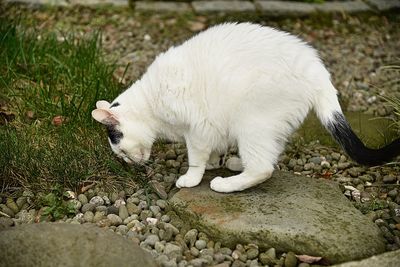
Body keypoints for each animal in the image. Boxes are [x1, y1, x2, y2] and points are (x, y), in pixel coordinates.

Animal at [91, 21, 400, 193]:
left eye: (120, 150)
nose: (128, 164)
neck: (150, 101)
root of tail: (316, 69)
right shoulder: (211, 126)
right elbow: (214, 149)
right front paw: (215, 161)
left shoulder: (197, 127)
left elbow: (196, 157)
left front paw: (192, 178)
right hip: (268, 125)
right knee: (269, 156)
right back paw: (236, 163)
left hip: (252, 121)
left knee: (263, 168)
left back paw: (226, 184)